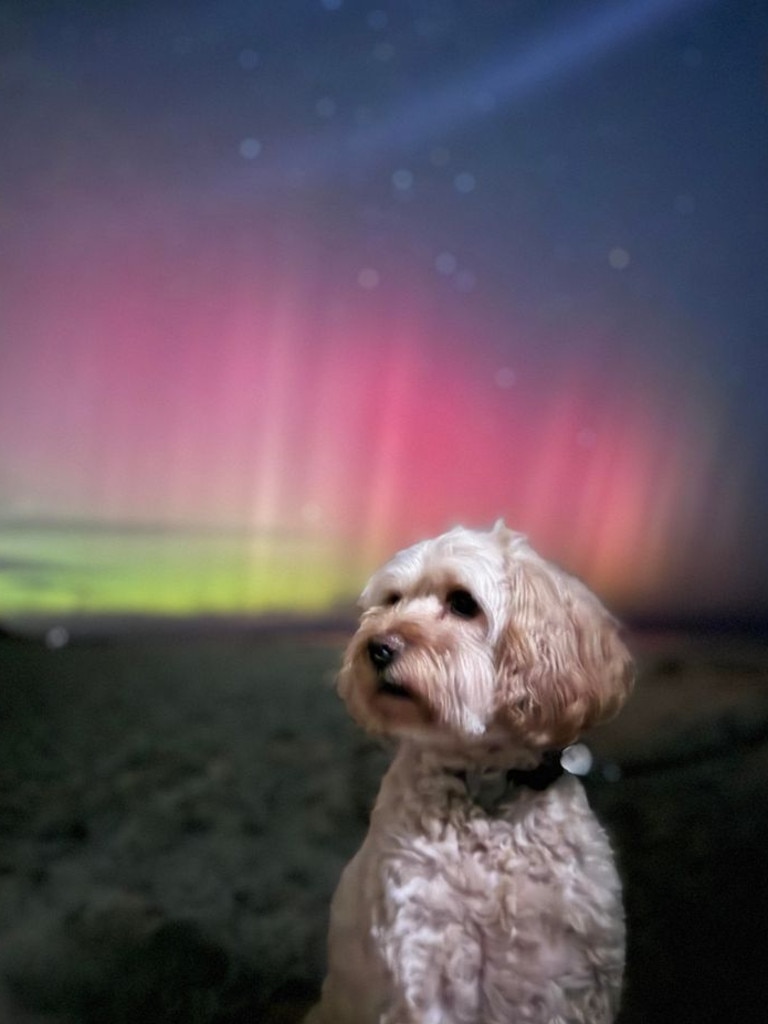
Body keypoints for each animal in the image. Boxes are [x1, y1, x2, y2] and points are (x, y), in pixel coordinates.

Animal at [309, 524, 638, 1019]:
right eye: (392, 600)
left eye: (463, 603)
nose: (376, 647)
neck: (486, 782)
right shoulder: (426, 972)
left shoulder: (575, 980)